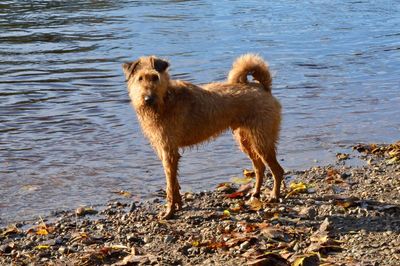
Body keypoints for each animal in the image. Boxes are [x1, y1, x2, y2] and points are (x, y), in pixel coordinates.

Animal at [123, 53, 282, 218]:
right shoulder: (164, 151)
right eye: (140, 78)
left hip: (261, 141)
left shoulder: (169, 152)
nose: (148, 99)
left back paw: (274, 196)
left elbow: (170, 187)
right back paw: (255, 194)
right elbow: (174, 183)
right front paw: (178, 205)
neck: (165, 99)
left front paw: (169, 212)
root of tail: (262, 87)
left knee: (277, 171)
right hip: (246, 141)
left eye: (155, 77)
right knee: (260, 168)